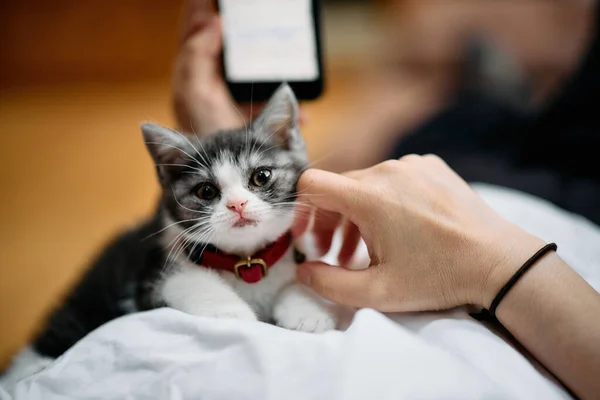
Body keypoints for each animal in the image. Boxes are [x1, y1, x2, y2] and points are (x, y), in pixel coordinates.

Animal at [0, 83, 338, 388]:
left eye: (261, 176)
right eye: (206, 191)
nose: (237, 204)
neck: (247, 261)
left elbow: (300, 276)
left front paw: (307, 311)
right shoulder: (147, 282)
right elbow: (186, 280)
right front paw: (233, 313)